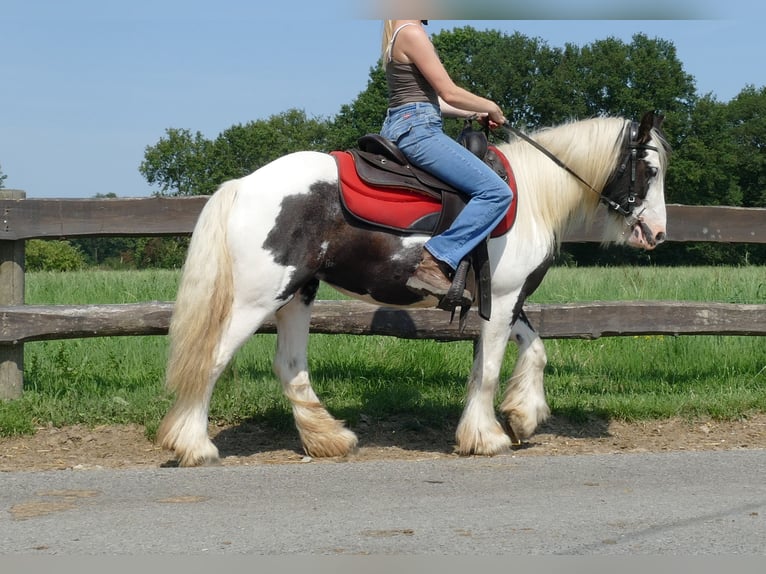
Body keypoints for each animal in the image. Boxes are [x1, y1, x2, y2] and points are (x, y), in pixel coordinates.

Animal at [158, 111, 672, 468]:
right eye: (648, 169)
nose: (657, 234)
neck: (532, 197)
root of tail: (244, 185)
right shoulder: (505, 297)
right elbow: (489, 371)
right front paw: (488, 437)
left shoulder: (504, 302)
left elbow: (533, 351)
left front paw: (523, 415)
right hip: (259, 298)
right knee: (212, 359)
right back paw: (194, 446)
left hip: (298, 294)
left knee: (289, 366)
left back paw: (329, 439)